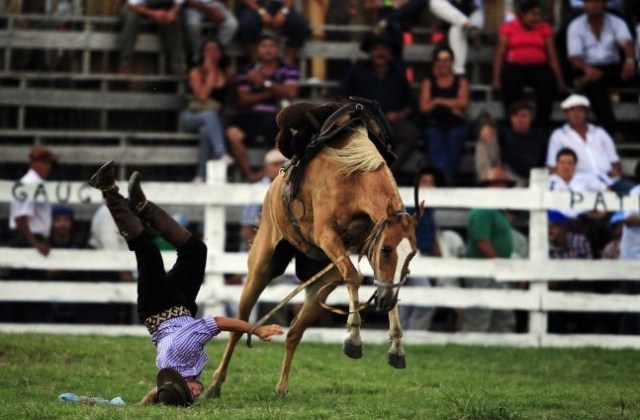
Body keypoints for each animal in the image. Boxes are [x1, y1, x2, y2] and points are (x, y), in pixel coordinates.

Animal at [205, 101, 422, 398]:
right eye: (387, 249)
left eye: (411, 254)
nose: (385, 303)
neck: (352, 175)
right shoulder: (327, 235)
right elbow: (354, 277)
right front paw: (354, 340)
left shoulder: (367, 246)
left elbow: (383, 284)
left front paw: (397, 350)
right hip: (261, 266)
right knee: (239, 324)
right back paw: (214, 385)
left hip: (323, 279)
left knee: (294, 331)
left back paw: (282, 387)